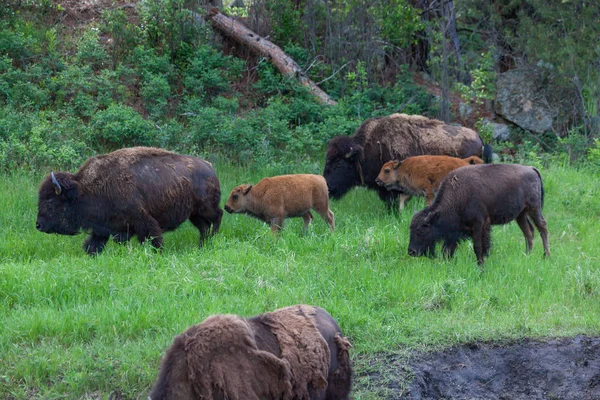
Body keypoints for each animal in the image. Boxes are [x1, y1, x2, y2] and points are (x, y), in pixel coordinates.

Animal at [35, 145, 223, 255]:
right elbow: (93, 245)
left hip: (205, 208)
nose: (38, 225)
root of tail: (209, 167)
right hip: (194, 214)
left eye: (50, 201)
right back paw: (202, 247)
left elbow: (154, 239)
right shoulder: (102, 228)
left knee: (217, 216)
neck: (83, 190)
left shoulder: (143, 220)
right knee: (204, 228)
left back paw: (212, 241)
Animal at [410, 162, 552, 266]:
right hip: (521, 215)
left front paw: (481, 265)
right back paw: (527, 255)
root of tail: (531, 168)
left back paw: (546, 256)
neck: (457, 195)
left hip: (534, 209)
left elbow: (478, 247)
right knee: (529, 232)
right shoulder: (456, 230)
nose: (411, 251)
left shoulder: (479, 224)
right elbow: (448, 248)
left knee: (542, 227)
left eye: (421, 230)